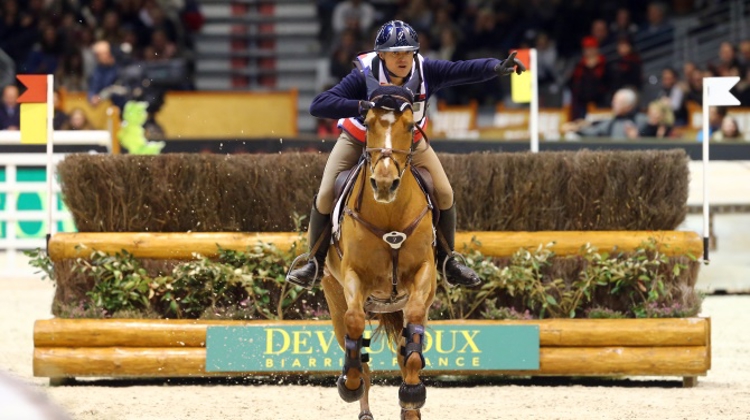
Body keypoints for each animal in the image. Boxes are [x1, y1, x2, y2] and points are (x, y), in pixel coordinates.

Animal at [320, 85, 438, 420]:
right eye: (369, 123)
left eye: (410, 127)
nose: (385, 184)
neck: (389, 214)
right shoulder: (353, 276)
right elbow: (355, 324)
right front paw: (349, 384)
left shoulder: (424, 274)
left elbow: (412, 335)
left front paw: (412, 392)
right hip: (333, 295)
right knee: (354, 345)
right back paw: (361, 403)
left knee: (403, 347)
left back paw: (410, 407)